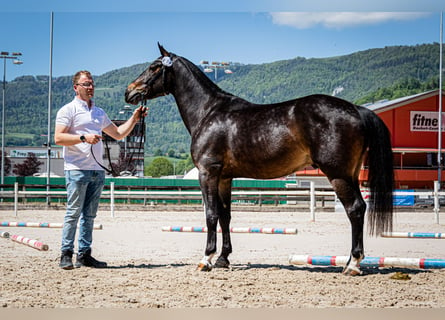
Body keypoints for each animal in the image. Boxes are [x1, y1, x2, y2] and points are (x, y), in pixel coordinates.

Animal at [125, 44, 392, 276]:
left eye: (154, 67)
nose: (129, 91)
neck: (209, 111)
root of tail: (357, 109)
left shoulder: (208, 172)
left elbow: (210, 214)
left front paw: (206, 259)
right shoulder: (225, 177)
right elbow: (225, 216)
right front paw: (223, 258)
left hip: (338, 175)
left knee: (355, 209)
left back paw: (353, 265)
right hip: (351, 174)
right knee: (360, 208)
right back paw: (349, 262)